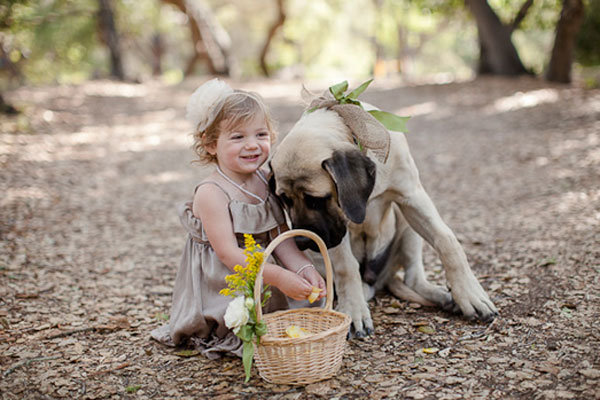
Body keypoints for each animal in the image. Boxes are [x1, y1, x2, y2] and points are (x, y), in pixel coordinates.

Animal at [270, 104, 500, 336]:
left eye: (315, 200)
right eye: (284, 199)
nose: (300, 242)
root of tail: (381, 278)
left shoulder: (412, 197)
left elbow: (447, 241)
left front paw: (469, 293)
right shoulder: (338, 232)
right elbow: (346, 267)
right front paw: (354, 308)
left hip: (406, 224)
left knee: (414, 279)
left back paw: (446, 297)